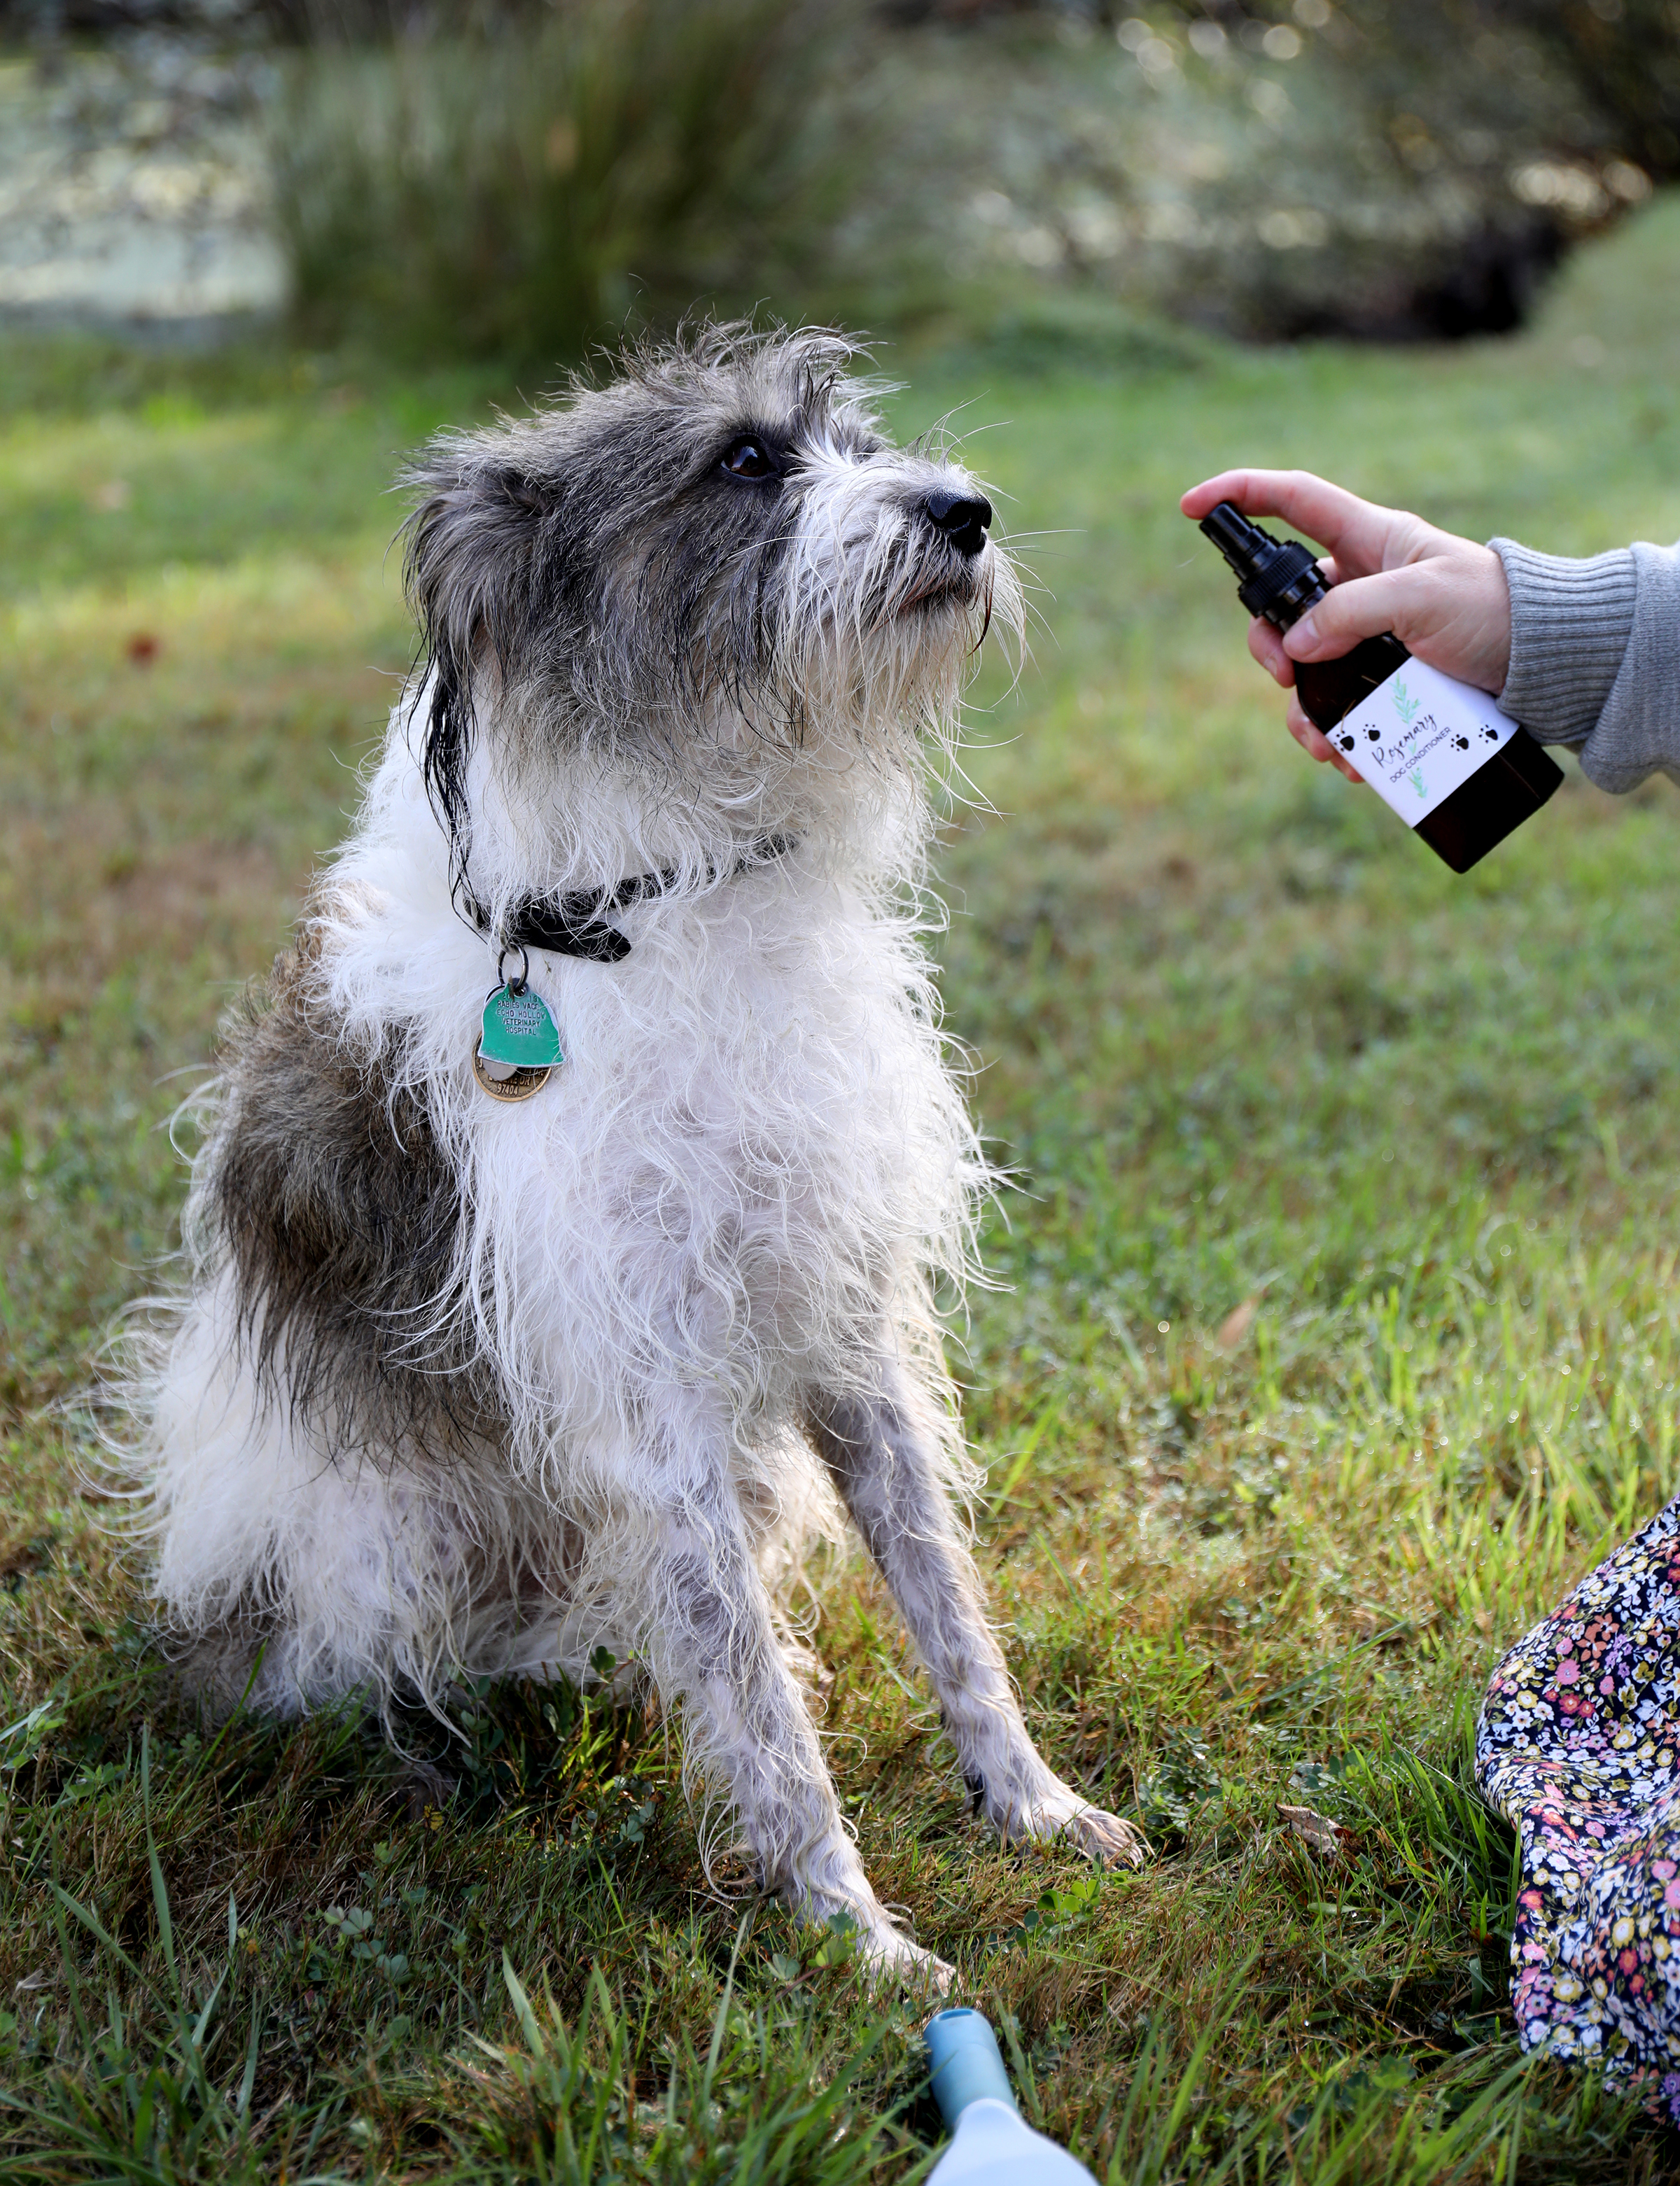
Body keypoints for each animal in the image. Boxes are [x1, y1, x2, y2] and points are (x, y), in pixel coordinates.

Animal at [118, 323, 1146, 1984]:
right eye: (744, 460)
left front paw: (1031, 1804)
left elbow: (942, 1595)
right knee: (366, 1663)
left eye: (859, 445)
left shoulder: (845, 1323)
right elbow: (758, 1700)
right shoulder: (647, 1394)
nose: (966, 510)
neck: (677, 893)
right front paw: (859, 1940)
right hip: (385, 1528)